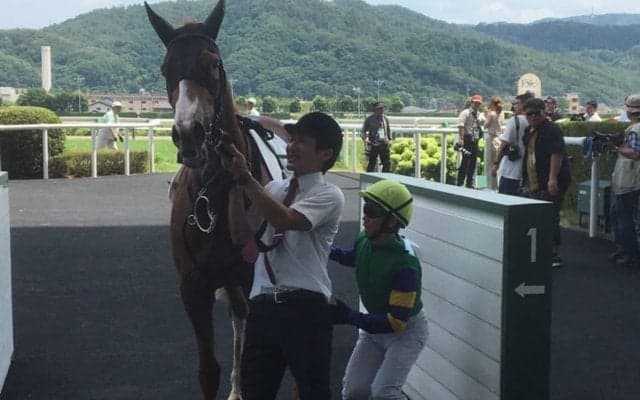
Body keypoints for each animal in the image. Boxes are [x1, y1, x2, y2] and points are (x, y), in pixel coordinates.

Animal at [145, 1, 286, 399]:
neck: (217, 193)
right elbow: (208, 370)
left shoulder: (251, 279)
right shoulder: (194, 286)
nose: (188, 133)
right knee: (238, 318)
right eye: (166, 69)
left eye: (212, 63)